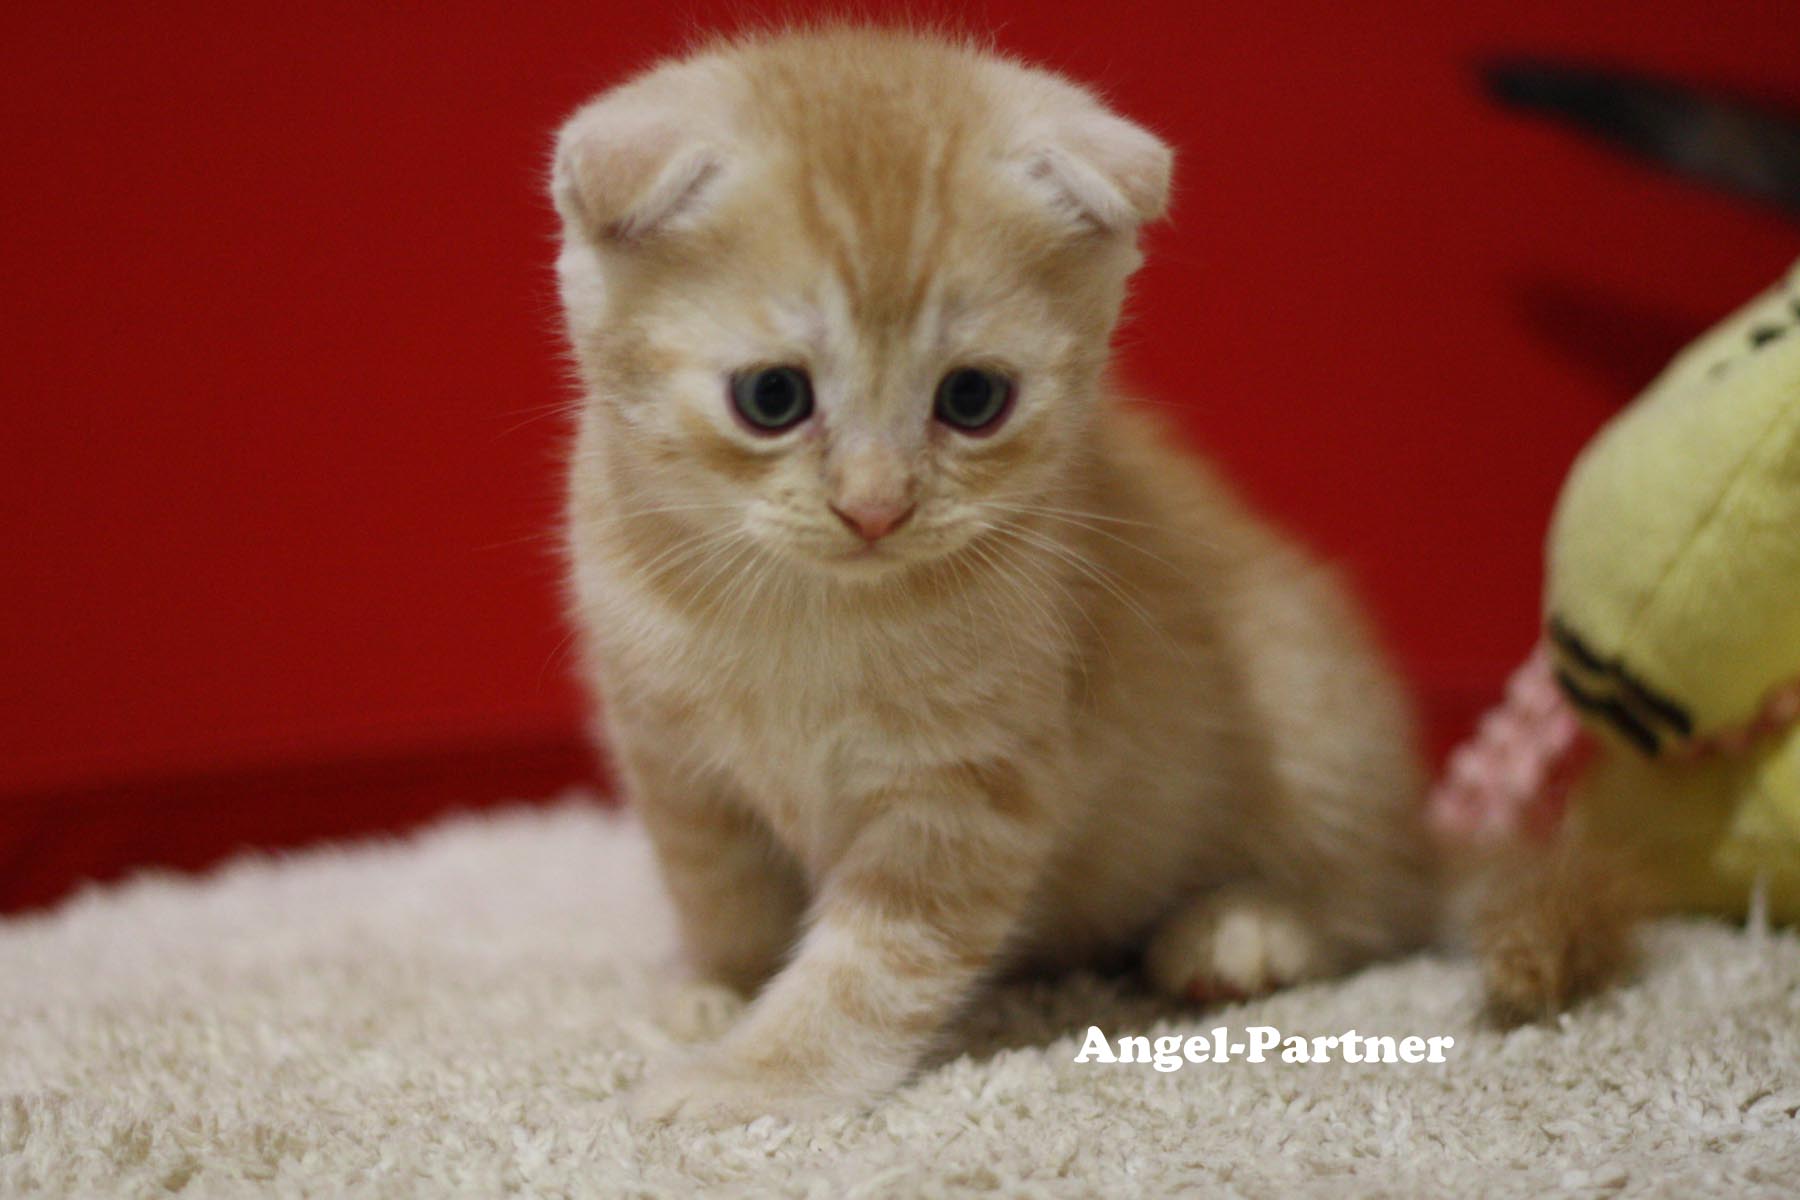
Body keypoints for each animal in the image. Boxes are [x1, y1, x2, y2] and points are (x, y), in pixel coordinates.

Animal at [547, 21, 1432, 1129]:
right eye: (772, 397)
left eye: (973, 399)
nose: (875, 508)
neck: (807, 608)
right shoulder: (673, 762)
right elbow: (721, 888)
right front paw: (719, 988)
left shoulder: (963, 797)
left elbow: (868, 969)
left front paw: (756, 1074)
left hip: (1313, 715)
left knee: (1385, 899)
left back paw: (1246, 930)